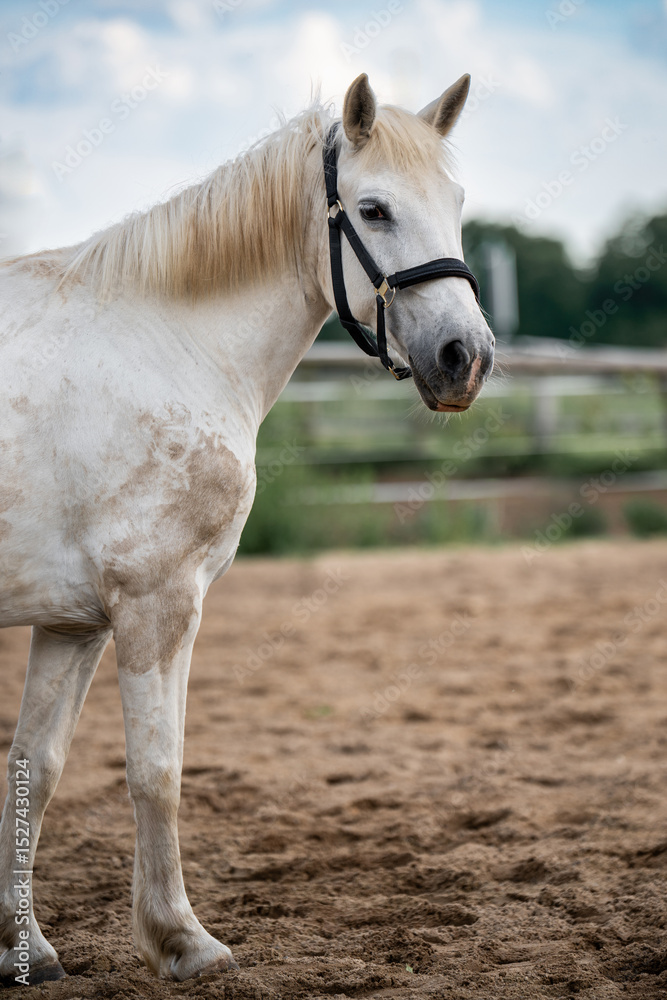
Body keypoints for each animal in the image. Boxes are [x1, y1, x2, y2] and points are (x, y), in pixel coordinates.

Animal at [0, 72, 494, 983]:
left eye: (455, 200)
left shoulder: (73, 621)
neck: (166, 344)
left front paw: (25, 945)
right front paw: (181, 939)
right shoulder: (157, 603)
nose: (464, 359)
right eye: (372, 210)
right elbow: (156, 771)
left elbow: (34, 769)